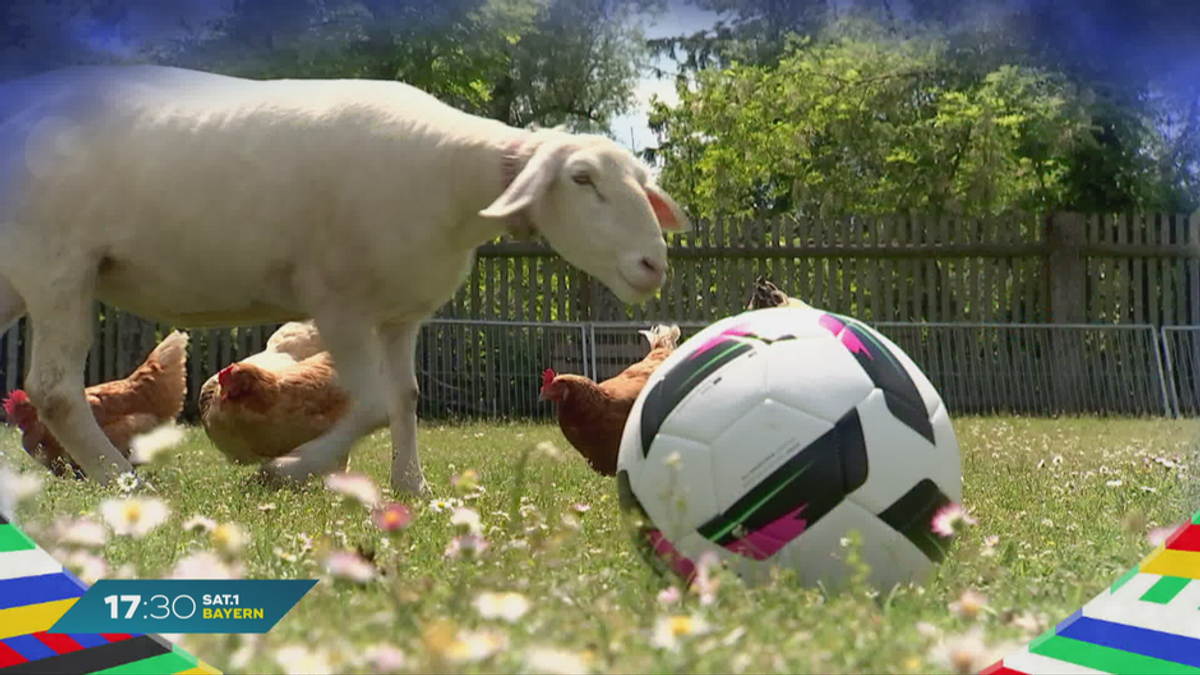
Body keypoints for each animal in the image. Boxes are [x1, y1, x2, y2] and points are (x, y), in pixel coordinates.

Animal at [0, 64, 691, 494]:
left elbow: (407, 397)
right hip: (55, 262)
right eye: (582, 179)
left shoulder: (401, 313)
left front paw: (413, 486)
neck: (456, 181)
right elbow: (378, 404)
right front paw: (283, 471)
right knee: (55, 390)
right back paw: (122, 480)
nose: (653, 265)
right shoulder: (340, 305)